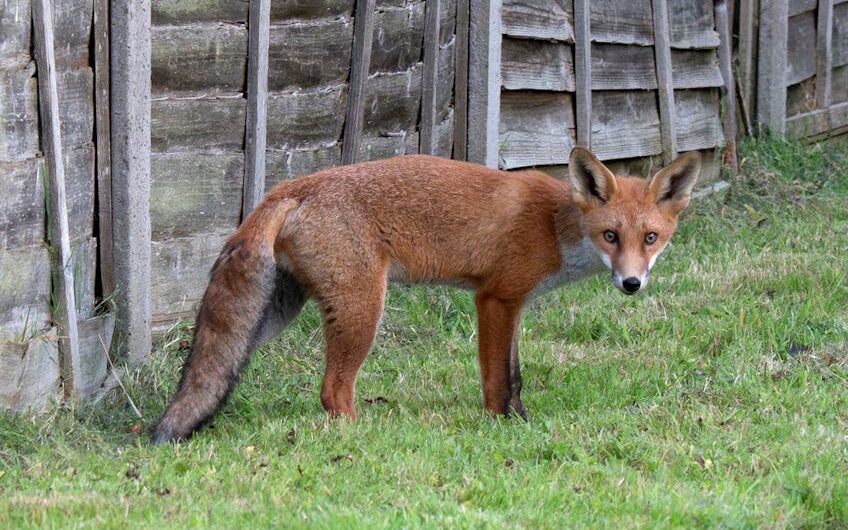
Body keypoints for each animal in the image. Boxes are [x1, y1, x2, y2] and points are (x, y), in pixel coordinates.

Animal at [150, 147, 701, 444]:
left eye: (650, 238)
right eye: (611, 236)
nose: (632, 284)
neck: (554, 227)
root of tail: (290, 187)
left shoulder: (517, 305)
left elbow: (516, 375)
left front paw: (522, 420)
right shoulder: (496, 299)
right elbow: (498, 381)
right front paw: (503, 426)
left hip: (271, 317)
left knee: (213, 368)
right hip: (362, 308)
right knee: (332, 391)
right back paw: (362, 433)